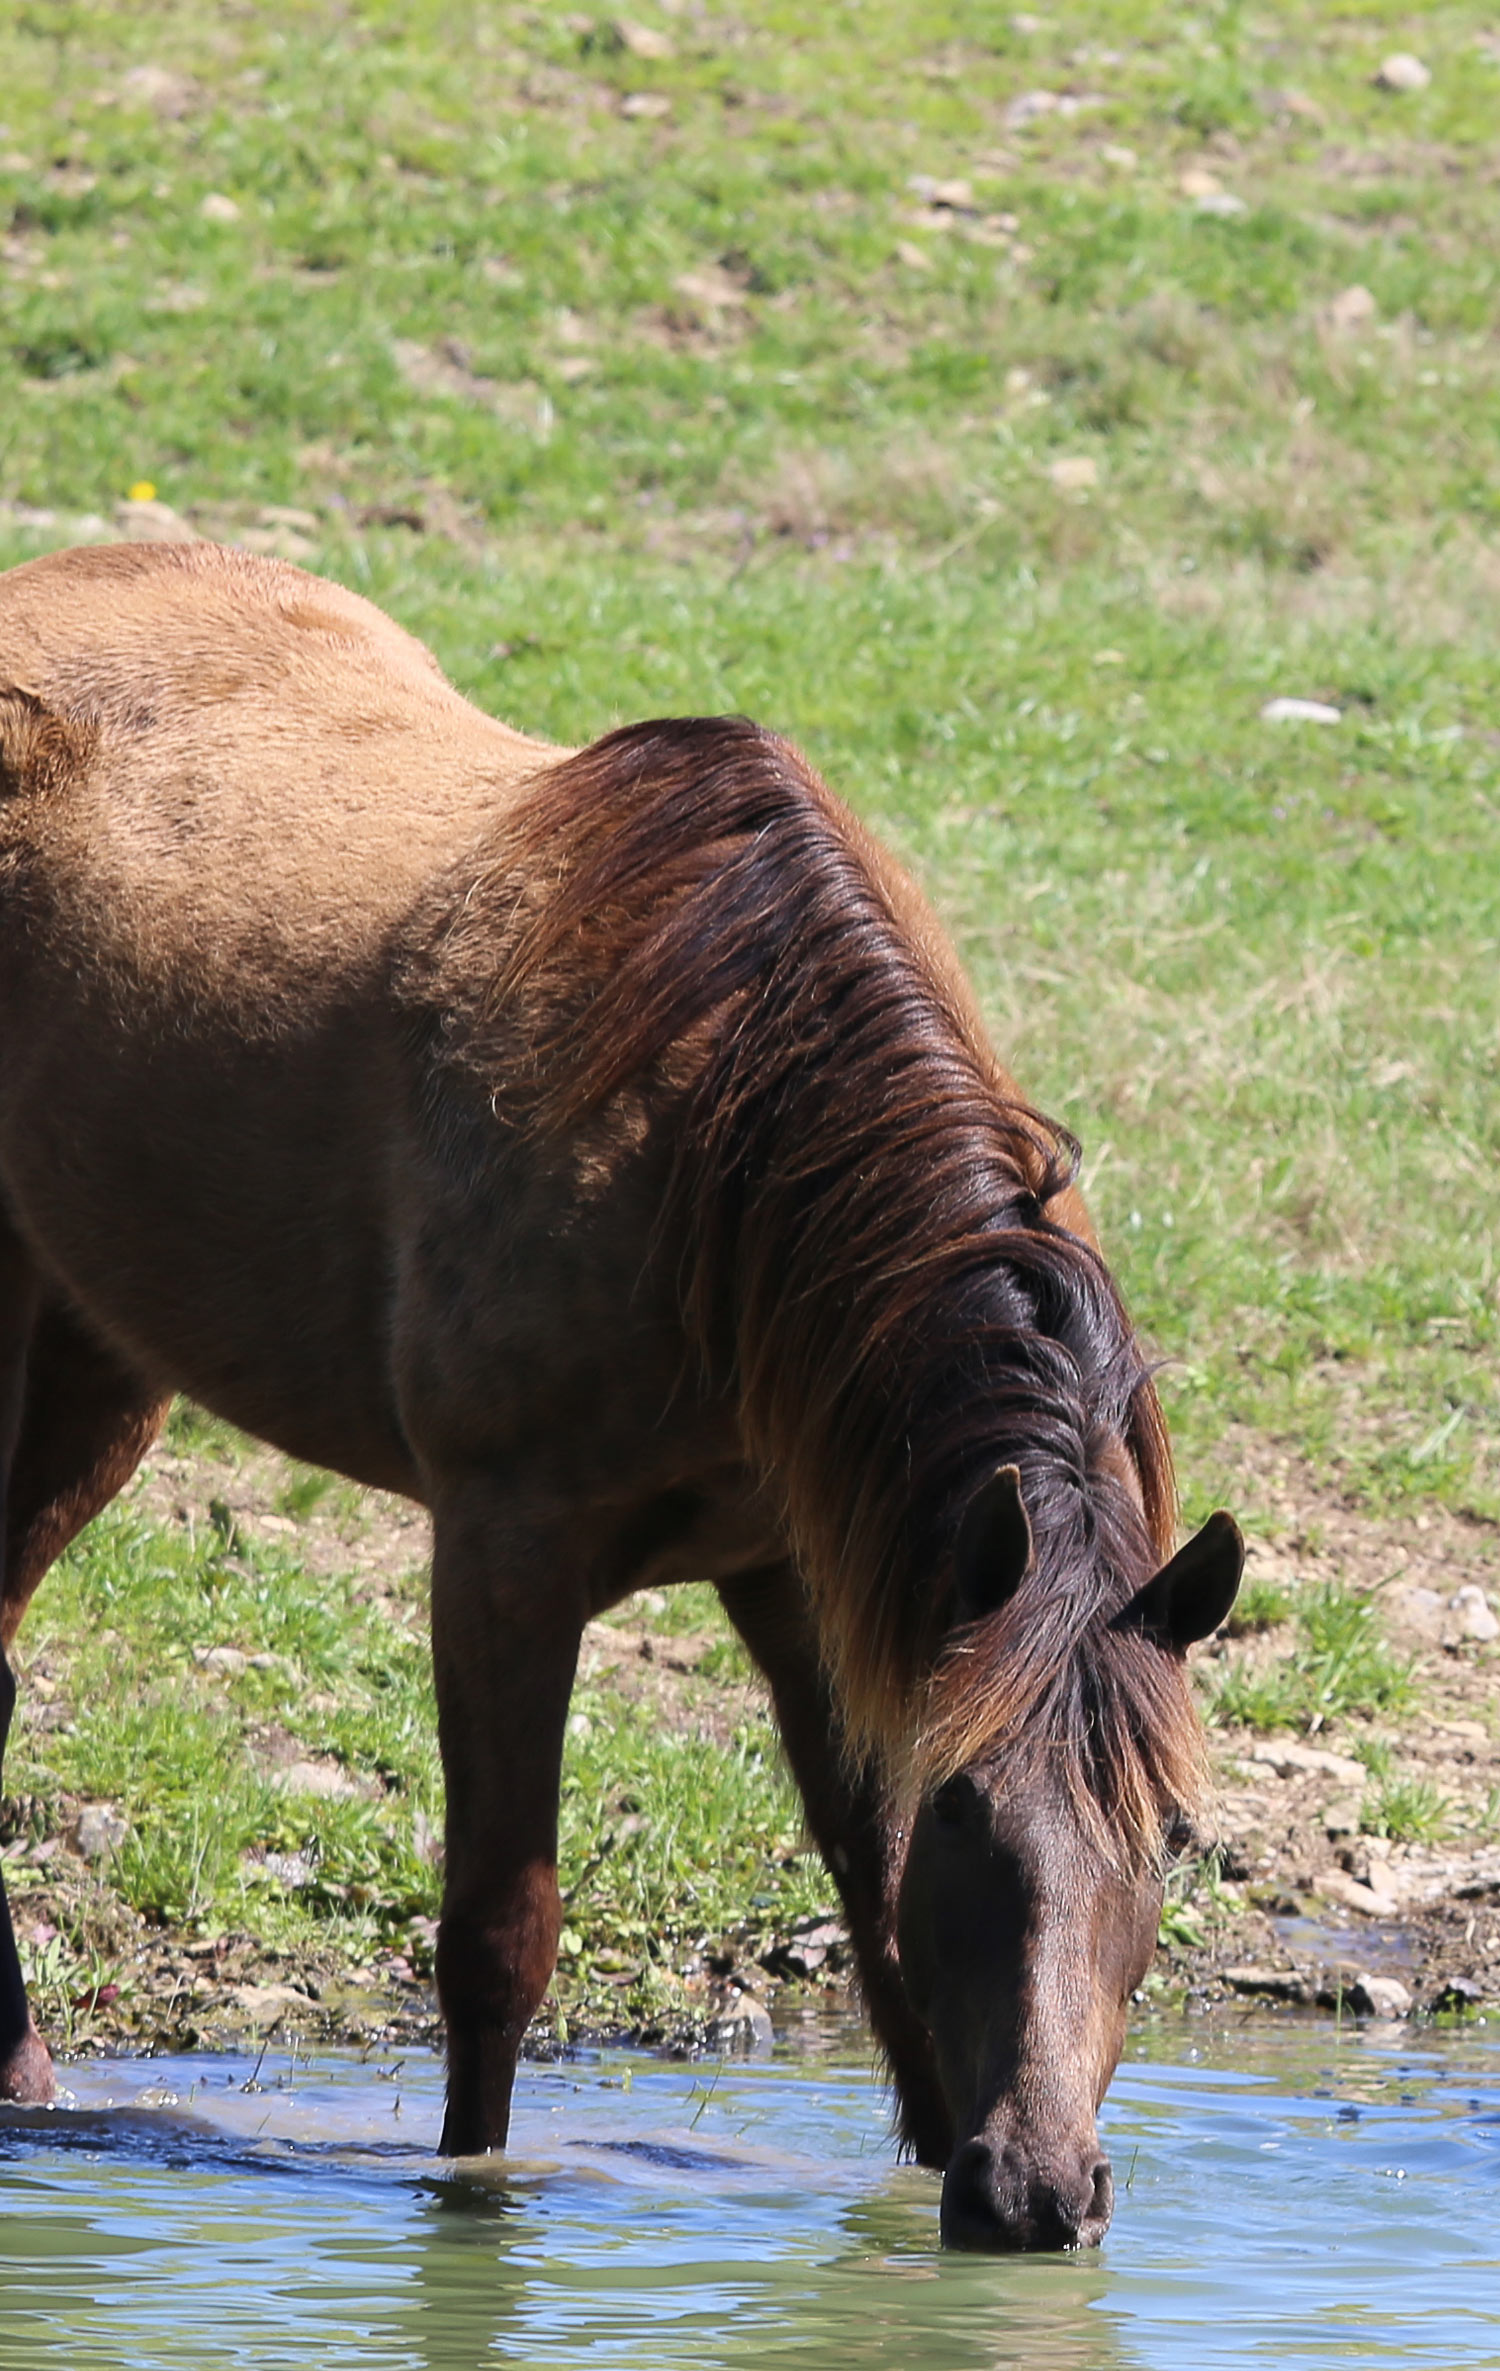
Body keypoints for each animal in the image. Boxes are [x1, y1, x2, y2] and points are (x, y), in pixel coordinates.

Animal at [0, 545, 1241, 2247]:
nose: (1043, 2195)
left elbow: (879, 1919)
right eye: (973, 1806)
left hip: (102, 1356)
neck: (720, 1155)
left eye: (1172, 1833)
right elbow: (499, 1935)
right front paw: (470, 2210)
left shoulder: (812, 1566)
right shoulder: (505, 1549)